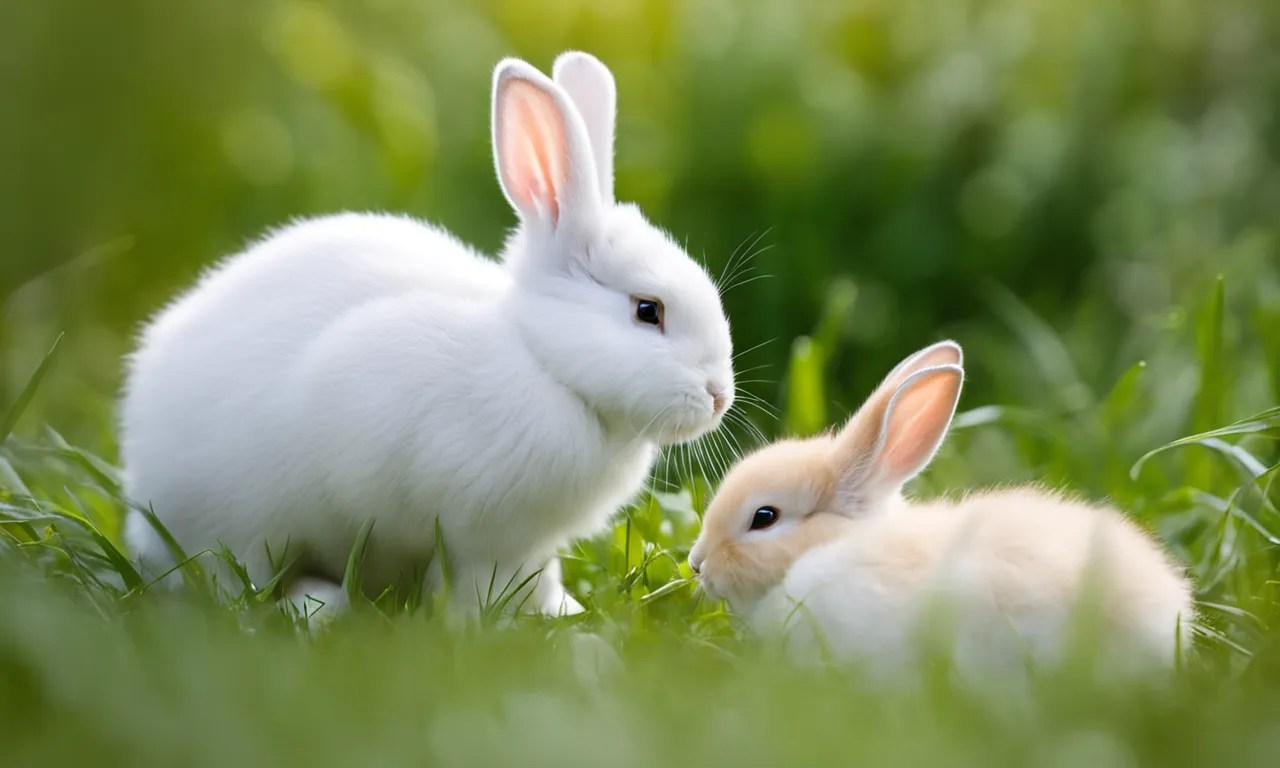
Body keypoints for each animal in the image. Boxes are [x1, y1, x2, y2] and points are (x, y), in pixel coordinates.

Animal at [120, 51, 735, 618]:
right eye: (648, 311)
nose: (718, 397)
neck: (542, 362)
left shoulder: (530, 545)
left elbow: (539, 578)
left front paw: (563, 613)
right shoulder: (480, 534)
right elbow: (482, 582)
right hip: (242, 519)